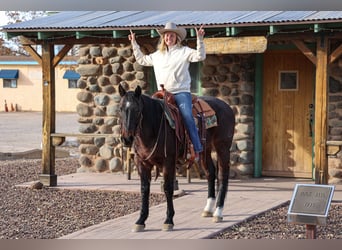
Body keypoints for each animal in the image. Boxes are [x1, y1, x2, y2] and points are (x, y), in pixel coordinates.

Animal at [118, 84, 235, 232]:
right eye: (120, 108)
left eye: (137, 109)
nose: (126, 139)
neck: (155, 125)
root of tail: (227, 107)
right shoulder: (142, 163)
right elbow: (144, 189)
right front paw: (140, 221)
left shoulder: (168, 161)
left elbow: (168, 188)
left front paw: (169, 220)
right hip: (205, 149)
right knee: (210, 172)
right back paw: (208, 209)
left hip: (222, 147)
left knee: (222, 175)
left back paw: (218, 212)